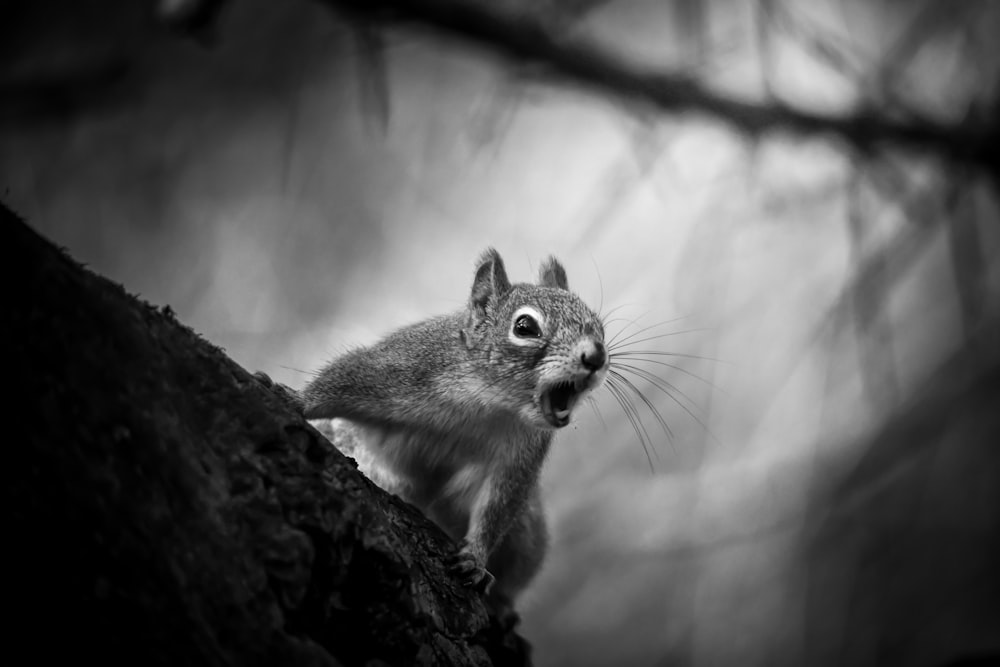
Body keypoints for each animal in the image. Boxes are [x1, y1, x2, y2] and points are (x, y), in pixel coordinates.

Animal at [286, 249, 608, 616]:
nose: (596, 355)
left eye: (599, 327)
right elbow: (341, 380)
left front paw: (476, 560)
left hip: (527, 535)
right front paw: (297, 401)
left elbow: (497, 504)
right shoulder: (401, 367)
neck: (491, 400)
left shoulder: (521, 454)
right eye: (525, 327)